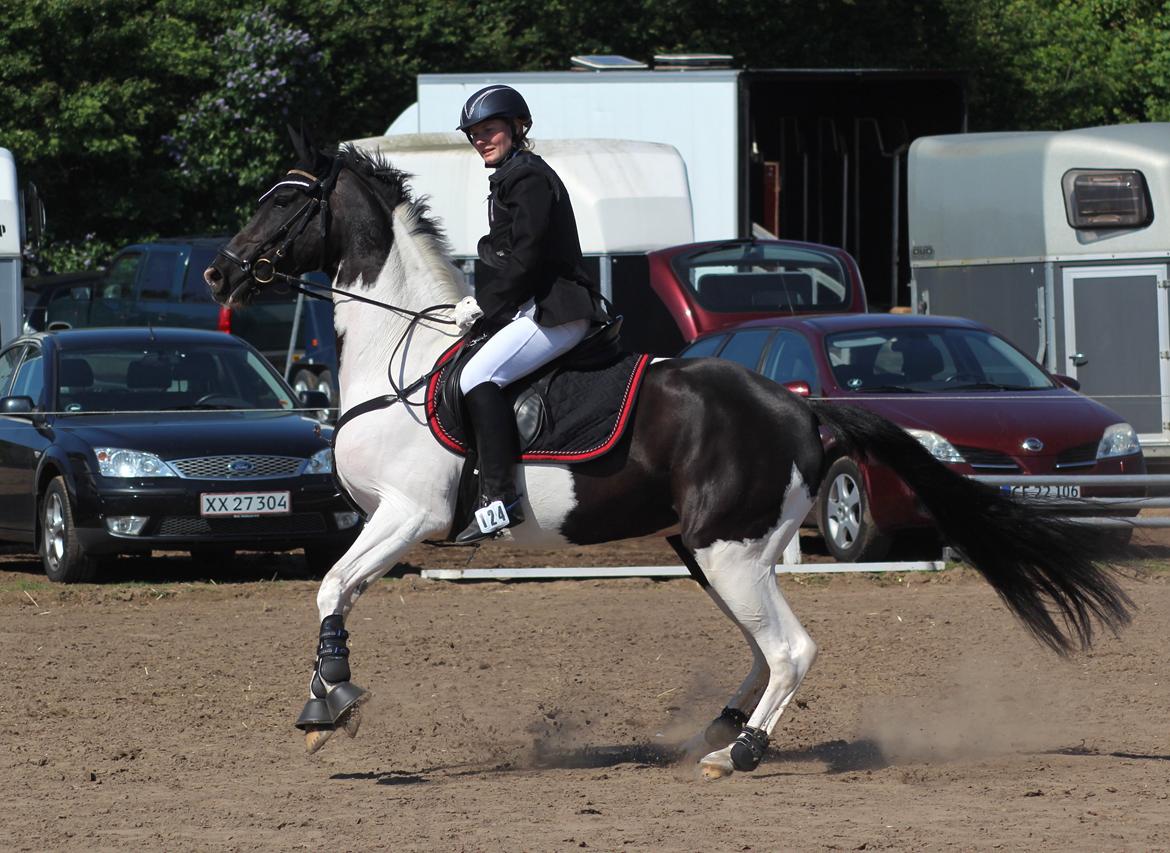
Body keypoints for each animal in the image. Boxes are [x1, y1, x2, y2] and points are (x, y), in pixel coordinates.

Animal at [208, 133, 1132, 776]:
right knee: (762, 650)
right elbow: (336, 589)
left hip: (729, 552)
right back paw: (719, 730)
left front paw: (333, 701)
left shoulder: (410, 514)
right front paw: (326, 695)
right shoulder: (381, 523)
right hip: (711, 551)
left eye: (283, 204)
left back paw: (739, 753)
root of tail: (801, 406)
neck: (399, 351)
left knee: (790, 650)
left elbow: (331, 586)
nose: (219, 274)